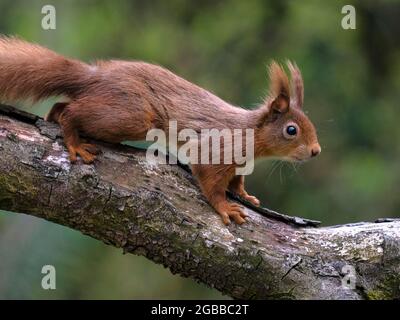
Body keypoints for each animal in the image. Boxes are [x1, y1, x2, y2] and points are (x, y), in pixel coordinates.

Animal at [0, 36, 320, 225]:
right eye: (291, 130)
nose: (316, 151)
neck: (251, 134)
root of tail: (97, 76)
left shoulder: (239, 162)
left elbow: (236, 181)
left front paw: (245, 195)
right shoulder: (217, 147)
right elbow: (210, 181)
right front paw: (226, 207)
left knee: (61, 105)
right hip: (130, 115)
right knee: (72, 112)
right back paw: (74, 142)